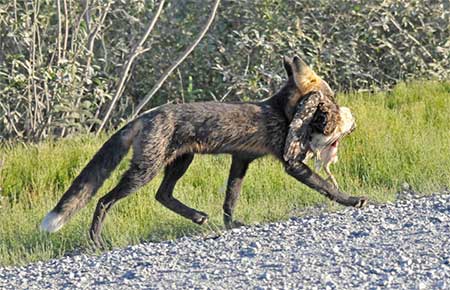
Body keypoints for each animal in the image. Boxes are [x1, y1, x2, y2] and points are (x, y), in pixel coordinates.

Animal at [40, 55, 368, 247]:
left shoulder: (241, 159)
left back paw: (197, 217)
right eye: (331, 98)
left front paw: (232, 225)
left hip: (181, 161)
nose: (342, 116)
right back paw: (96, 239)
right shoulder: (291, 163)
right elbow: (325, 186)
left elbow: (230, 199)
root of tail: (144, 115)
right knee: (104, 201)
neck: (282, 113)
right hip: (145, 170)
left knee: (162, 195)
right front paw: (352, 200)